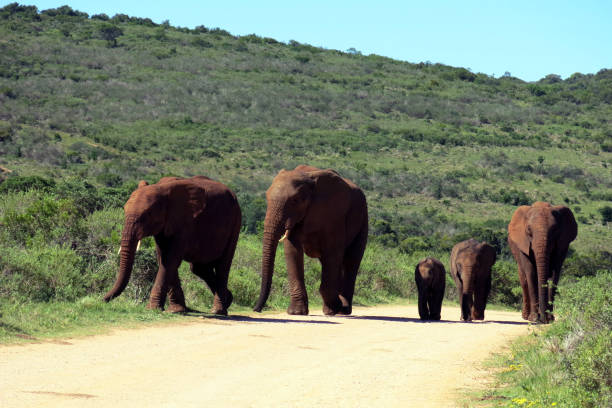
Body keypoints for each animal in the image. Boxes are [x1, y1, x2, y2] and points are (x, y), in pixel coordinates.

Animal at [104, 176, 240, 316]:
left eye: (148, 214)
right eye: (124, 210)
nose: (102, 299)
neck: (161, 189)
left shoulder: (185, 223)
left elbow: (170, 260)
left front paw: (152, 309)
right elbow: (163, 259)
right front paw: (176, 310)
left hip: (235, 222)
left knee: (223, 266)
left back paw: (218, 311)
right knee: (198, 268)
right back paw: (228, 300)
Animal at [253, 165, 368, 316]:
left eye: (295, 200)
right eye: (266, 197)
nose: (256, 309)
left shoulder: (335, 214)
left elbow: (333, 252)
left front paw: (337, 306)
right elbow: (292, 251)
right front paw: (296, 312)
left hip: (363, 218)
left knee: (351, 261)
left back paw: (342, 310)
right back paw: (333, 310)